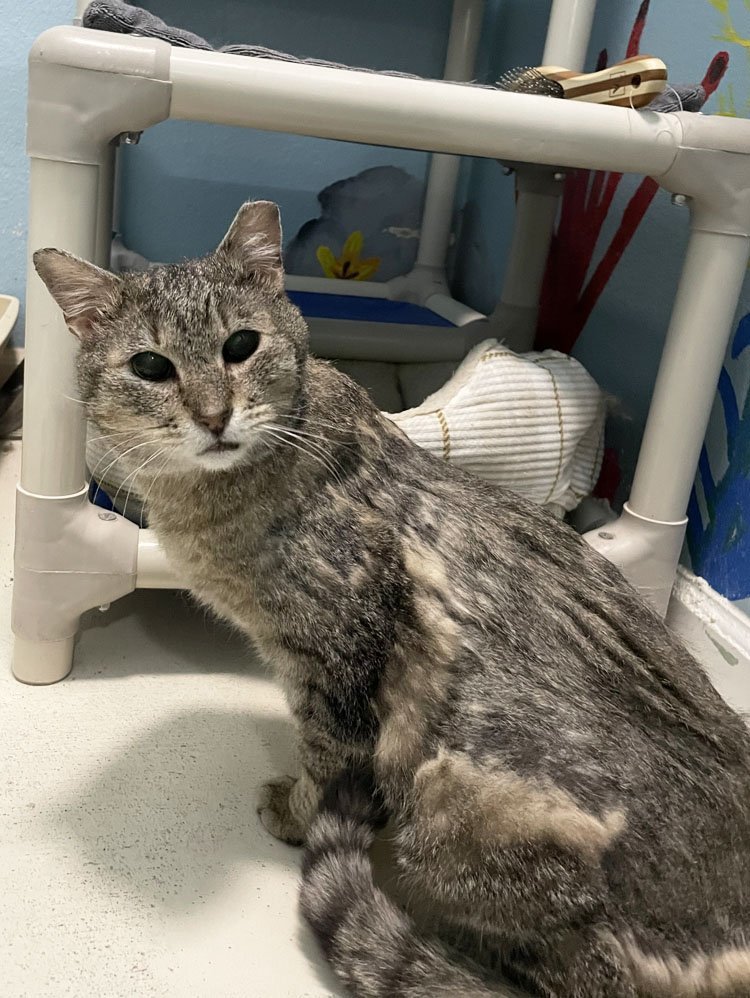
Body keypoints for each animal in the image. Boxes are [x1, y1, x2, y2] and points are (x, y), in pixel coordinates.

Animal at [35, 199, 750, 996]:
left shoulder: (338, 653)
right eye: (151, 366)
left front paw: (297, 814)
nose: (214, 416)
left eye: (240, 345)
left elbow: (326, 755)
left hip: (453, 802)